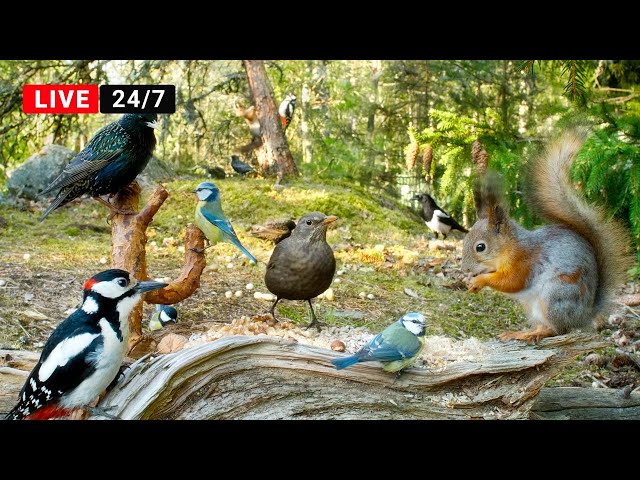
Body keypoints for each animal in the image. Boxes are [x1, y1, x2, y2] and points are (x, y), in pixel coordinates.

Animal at [461, 129, 633, 343]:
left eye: (480, 247)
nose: (464, 268)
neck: (510, 246)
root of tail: (583, 316)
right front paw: (470, 281)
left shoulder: (525, 262)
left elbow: (512, 282)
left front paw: (480, 281)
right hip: (533, 307)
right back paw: (521, 333)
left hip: (554, 296)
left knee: (558, 329)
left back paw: (535, 334)